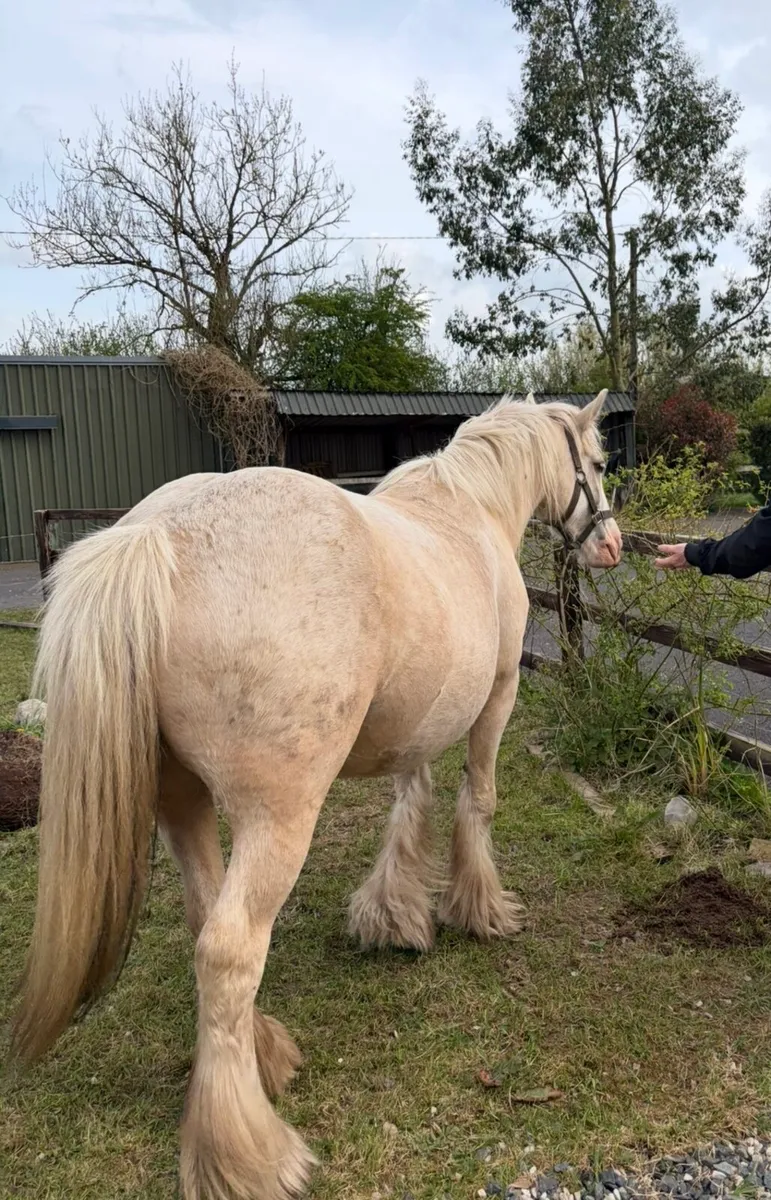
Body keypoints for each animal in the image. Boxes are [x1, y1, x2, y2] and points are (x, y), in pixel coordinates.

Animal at [10, 390, 622, 1200]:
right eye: (598, 462)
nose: (611, 545)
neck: (472, 510)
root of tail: (156, 535)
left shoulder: (413, 726)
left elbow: (410, 806)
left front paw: (394, 917)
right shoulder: (496, 698)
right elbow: (476, 802)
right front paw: (480, 909)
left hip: (182, 804)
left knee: (207, 923)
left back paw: (262, 1056)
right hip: (279, 817)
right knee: (231, 950)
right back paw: (248, 1153)